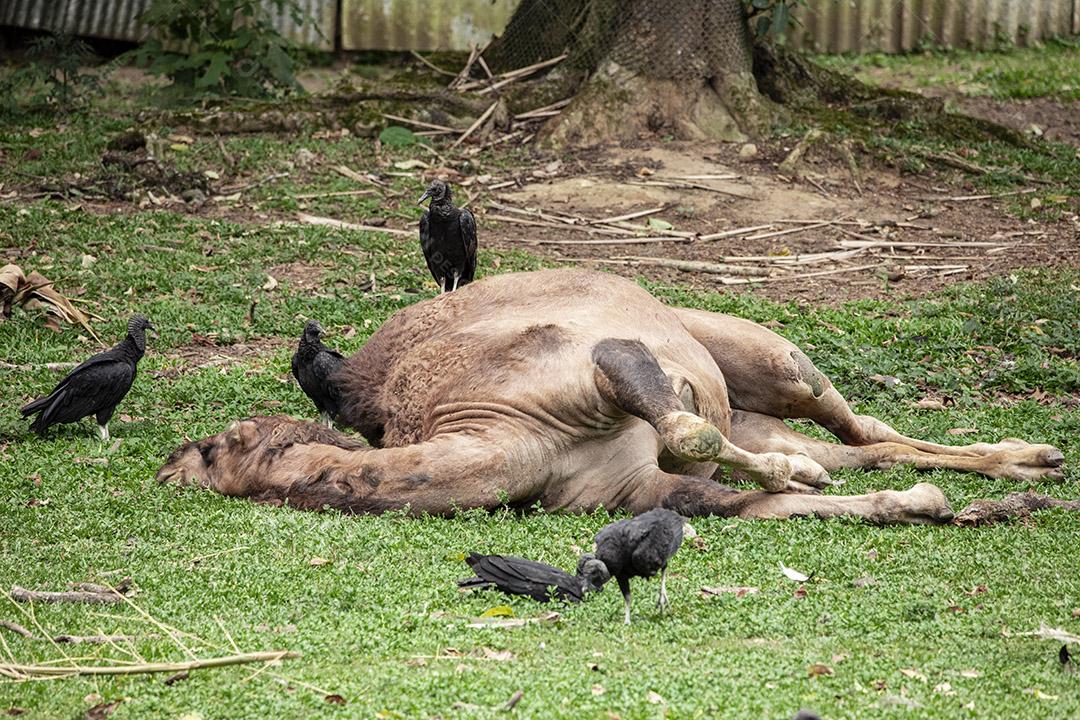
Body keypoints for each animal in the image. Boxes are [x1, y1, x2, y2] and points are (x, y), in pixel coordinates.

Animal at [156, 266, 1067, 524]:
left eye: (219, 443)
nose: (169, 462)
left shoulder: (600, 362)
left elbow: (687, 432)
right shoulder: (638, 493)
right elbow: (742, 496)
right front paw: (922, 505)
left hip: (770, 358)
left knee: (852, 418)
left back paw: (1032, 460)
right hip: (763, 409)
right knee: (865, 445)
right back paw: (1027, 472)